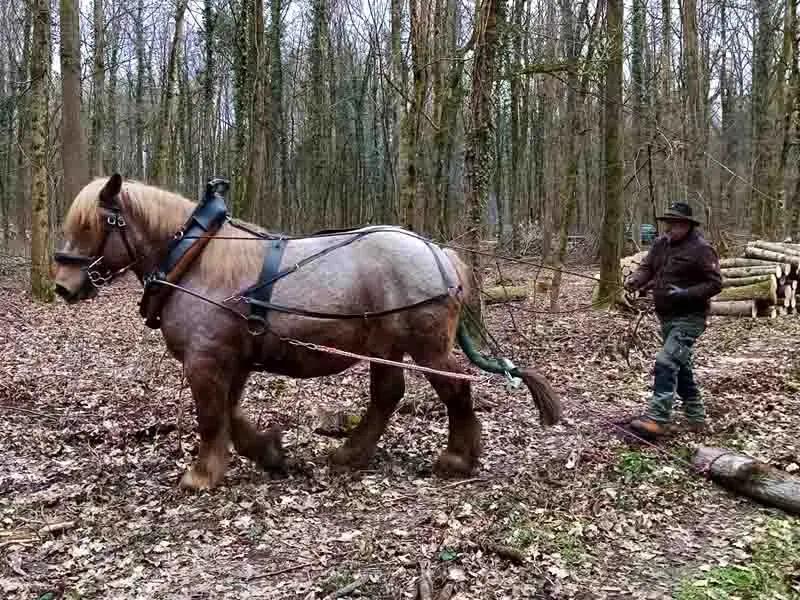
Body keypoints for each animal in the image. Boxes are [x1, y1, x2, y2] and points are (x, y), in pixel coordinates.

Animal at [52, 174, 562, 491]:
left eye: (95, 224)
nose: (62, 286)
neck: (192, 259)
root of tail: (439, 253)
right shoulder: (232, 359)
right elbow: (232, 416)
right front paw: (270, 453)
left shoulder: (205, 360)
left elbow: (213, 417)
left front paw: (201, 475)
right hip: (385, 344)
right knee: (387, 395)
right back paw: (351, 454)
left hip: (427, 346)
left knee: (454, 390)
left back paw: (457, 458)